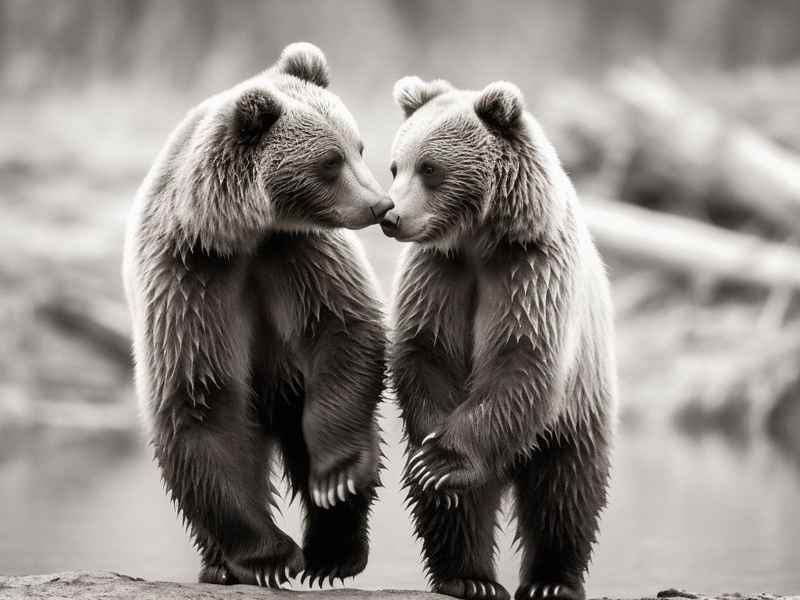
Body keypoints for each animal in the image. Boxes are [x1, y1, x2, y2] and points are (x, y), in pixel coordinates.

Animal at [122, 42, 393, 589]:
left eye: (358, 147)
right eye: (329, 162)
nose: (381, 204)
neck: (241, 234)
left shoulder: (299, 253)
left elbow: (342, 326)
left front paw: (334, 476)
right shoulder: (188, 279)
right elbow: (200, 400)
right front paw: (267, 558)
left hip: (290, 385)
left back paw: (335, 549)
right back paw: (219, 565)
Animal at [381, 76, 617, 600]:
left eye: (430, 168)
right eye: (395, 165)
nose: (390, 216)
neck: (480, 240)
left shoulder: (531, 273)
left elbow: (522, 360)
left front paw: (441, 461)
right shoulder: (438, 275)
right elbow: (425, 353)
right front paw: (432, 465)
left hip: (576, 410)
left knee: (565, 491)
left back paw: (553, 581)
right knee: (456, 507)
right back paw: (468, 577)